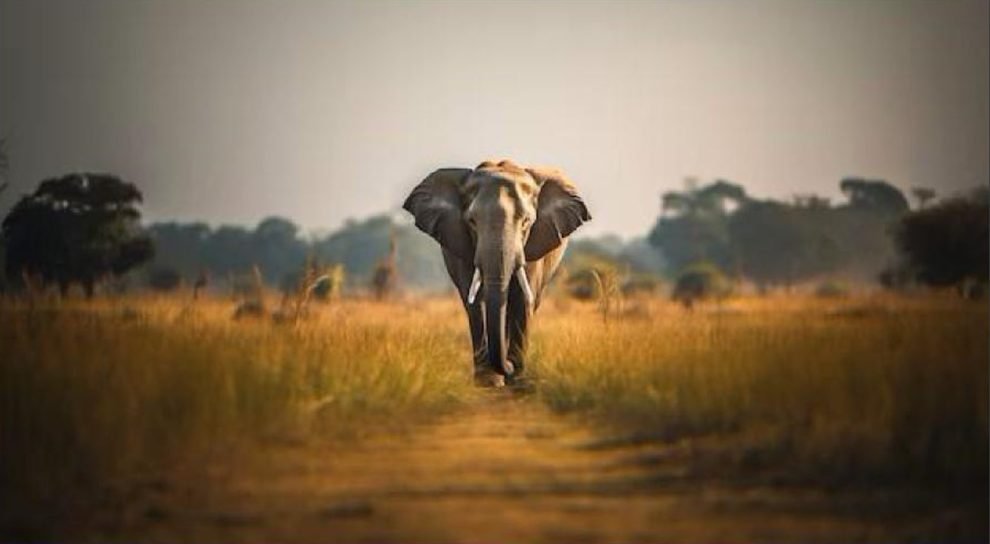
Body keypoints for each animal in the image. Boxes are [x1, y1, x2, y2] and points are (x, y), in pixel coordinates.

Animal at [403, 159, 591, 387]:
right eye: (472, 222)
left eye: (526, 222)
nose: (508, 366)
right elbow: (475, 301)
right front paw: (488, 380)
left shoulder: (534, 243)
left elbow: (522, 299)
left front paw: (517, 379)